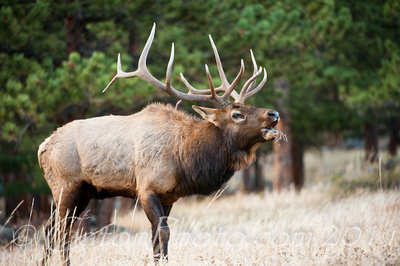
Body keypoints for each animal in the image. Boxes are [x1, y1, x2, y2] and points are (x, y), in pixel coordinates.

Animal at [39, 23, 280, 264]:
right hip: (66, 185)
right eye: (237, 114)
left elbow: (155, 237)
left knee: (50, 228)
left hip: (84, 192)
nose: (274, 113)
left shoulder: (169, 196)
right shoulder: (147, 188)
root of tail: (42, 147)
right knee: (61, 231)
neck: (184, 160)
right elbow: (163, 232)